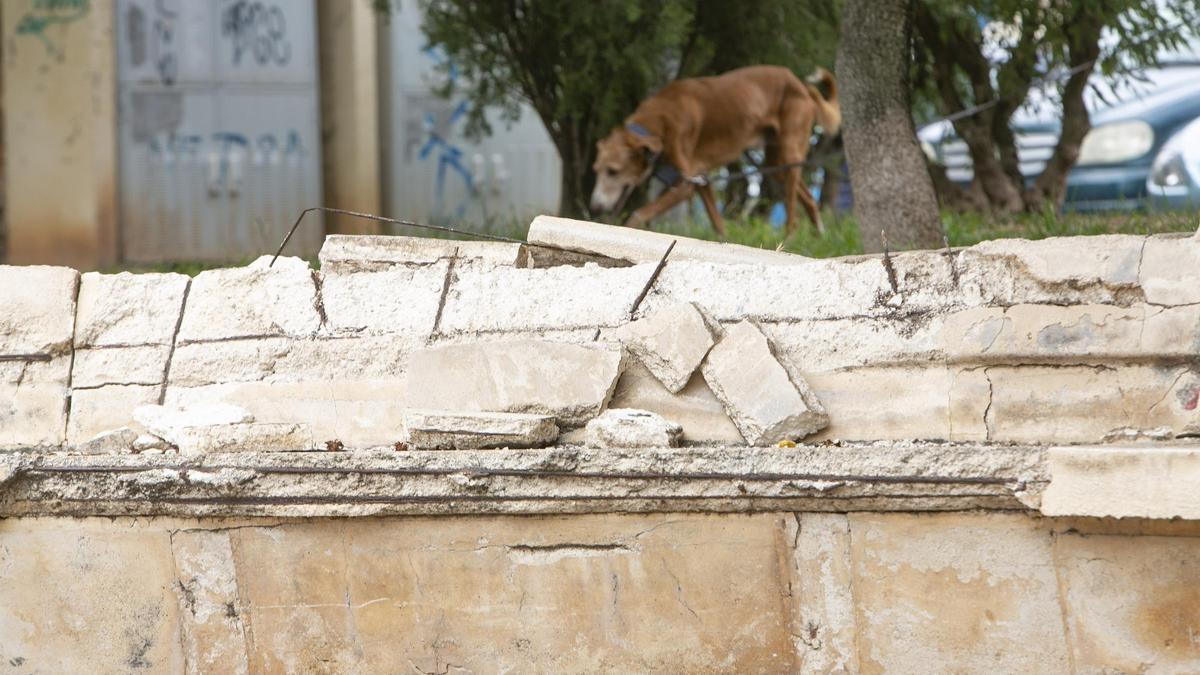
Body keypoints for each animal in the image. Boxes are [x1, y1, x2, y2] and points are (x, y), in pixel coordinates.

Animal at [592, 65, 840, 234]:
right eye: (596, 170)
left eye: (613, 171)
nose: (594, 207)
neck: (657, 124)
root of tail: (801, 86)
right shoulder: (701, 179)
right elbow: (718, 224)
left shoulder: (685, 185)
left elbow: (638, 213)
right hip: (777, 164)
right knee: (809, 199)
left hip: (788, 156)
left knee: (793, 217)